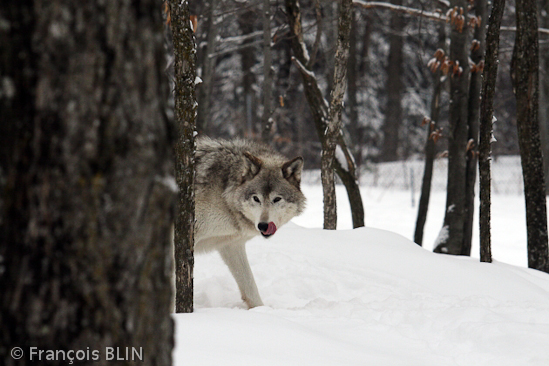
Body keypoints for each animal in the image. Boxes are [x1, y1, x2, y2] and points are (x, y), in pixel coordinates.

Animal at [193, 136, 306, 308]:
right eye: (256, 198)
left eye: (277, 199)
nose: (263, 225)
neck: (225, 197)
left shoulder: (231, 245)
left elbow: (250, 285)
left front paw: (260, 310)